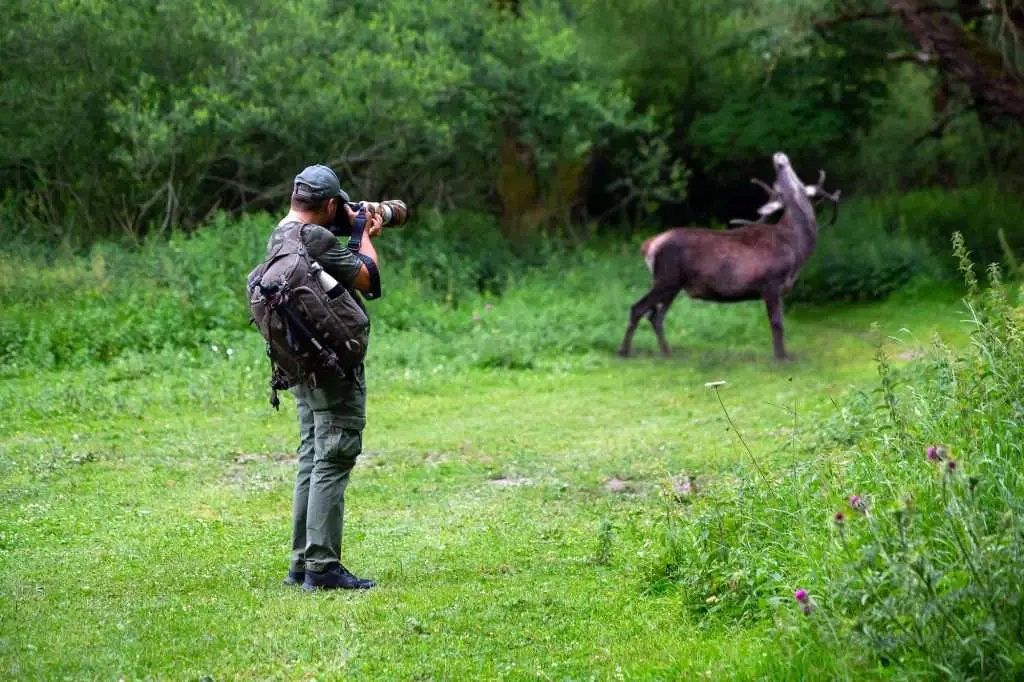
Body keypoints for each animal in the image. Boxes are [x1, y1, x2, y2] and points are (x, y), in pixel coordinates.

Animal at [614, 150, 839, 358]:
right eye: (788, 185)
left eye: (796, 182)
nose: (780, 158)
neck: (797, 248)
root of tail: (649, 245)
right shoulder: (771, 282)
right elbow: (777, 323)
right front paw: (781, 358)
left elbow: (779, 322)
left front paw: (782, 355)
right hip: (666, 279)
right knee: (638, 308)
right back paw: (624, 351)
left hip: (672, 285)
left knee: (655, 316)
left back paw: (666, 352)